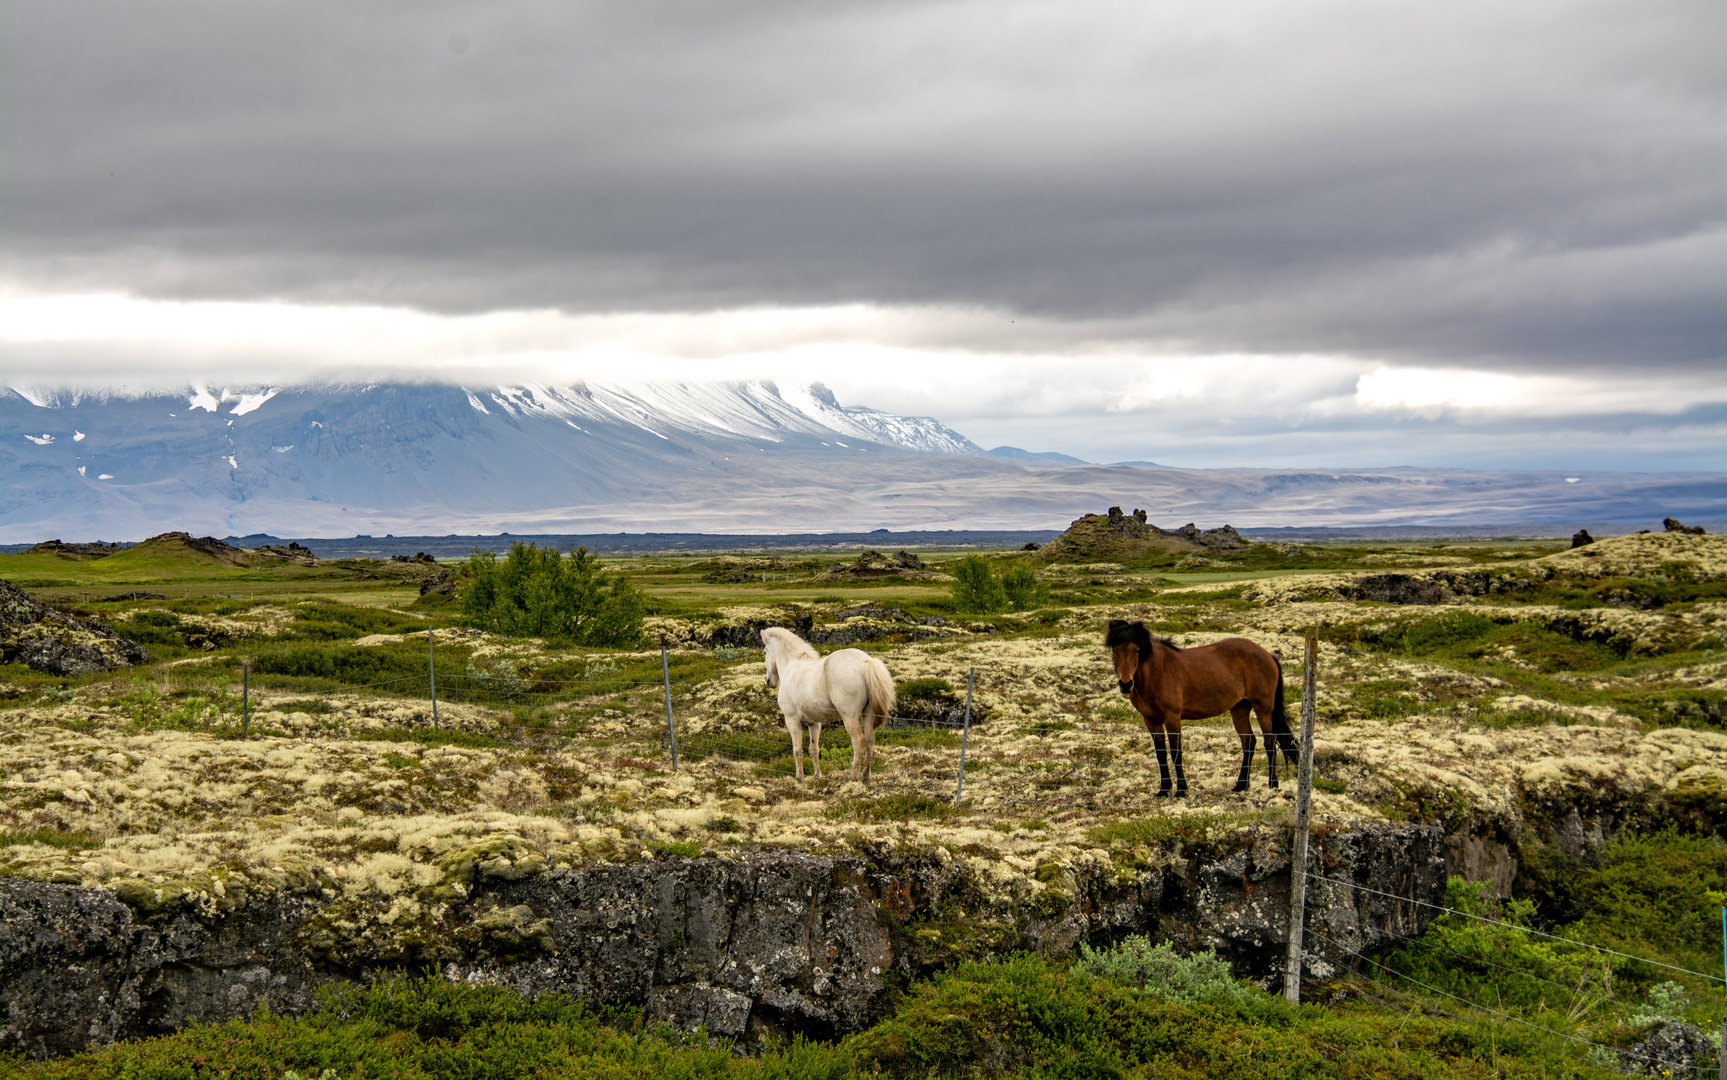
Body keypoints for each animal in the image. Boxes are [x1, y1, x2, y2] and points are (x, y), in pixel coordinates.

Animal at [770, 622, 904, 784]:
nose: (768, 681)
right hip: (868, 715)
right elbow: (813, 749)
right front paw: (817, 776)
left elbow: (797, 750)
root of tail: (865, 662)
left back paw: (854, 776)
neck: (793, 666)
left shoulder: (791, 720)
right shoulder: (814, 723)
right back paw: (865, 776)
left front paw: (799, 778)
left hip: (850, 717)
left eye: (764, 651)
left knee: (858, 741)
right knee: (870, 740)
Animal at [1105, 618, 1298, 794]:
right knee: (1248, 743)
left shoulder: (1172, 718)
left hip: (1263, 708)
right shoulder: (1151, 721)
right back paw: (1240, 786)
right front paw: (1164, 789)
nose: (1125, 684)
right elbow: (1161, 754)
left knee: (1270, 743)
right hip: (1239, 708)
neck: (1156, 672)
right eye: (1115, 650)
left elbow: (1176, 753)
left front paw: (1181, 790)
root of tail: (1268, 655)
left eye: (1137, 650)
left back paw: (1273, 784)